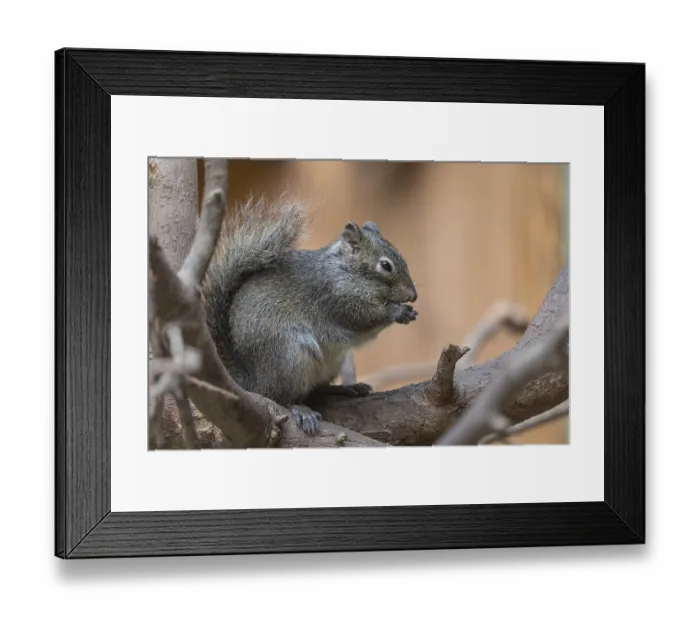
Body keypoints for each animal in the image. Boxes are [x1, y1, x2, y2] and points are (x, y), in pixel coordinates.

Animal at [201, 196, 418, 436]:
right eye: (385, 265)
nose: (413, 295)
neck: (345, 270)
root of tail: (255, 383)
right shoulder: (334, 297)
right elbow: (364, 317)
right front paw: (397, 311)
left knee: (317, 389)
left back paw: (346, 388)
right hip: (291, 356)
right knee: (281, 397)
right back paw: (301, 409)